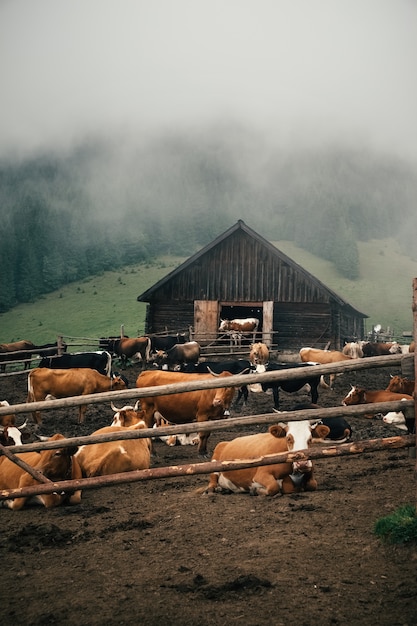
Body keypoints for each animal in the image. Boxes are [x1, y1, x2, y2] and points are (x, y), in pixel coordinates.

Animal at [200, 420, 330, 498]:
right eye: (288, 438)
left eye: (310, 439)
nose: (302, 463)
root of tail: (226, 442)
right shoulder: (261, 475)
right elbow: (273, 487)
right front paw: (256, 491)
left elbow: (312, 484)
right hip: (215, 463)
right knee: (212, 482)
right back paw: (213, 490)